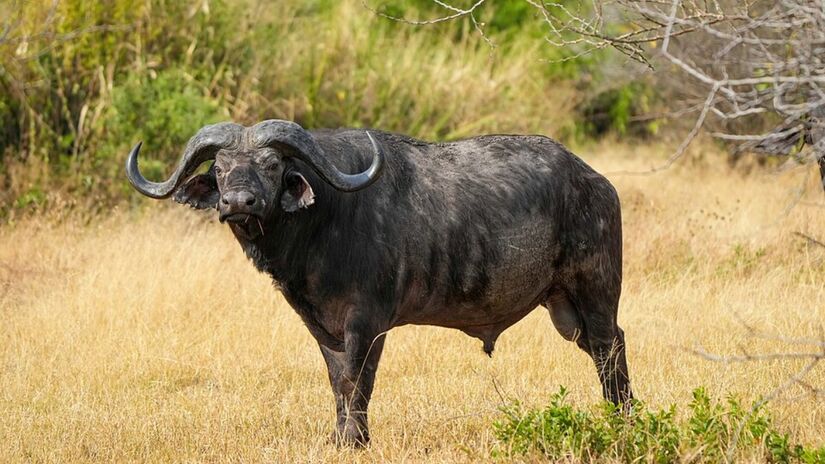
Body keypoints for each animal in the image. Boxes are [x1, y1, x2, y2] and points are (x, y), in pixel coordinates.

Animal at [126, 119, 633, 446]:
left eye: (271, 165)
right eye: (220, 167)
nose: (237, 202)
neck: (324, 219)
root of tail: (595, 182)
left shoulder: (367, 324)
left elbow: (358, 382)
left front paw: (357, 441)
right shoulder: (323, 329)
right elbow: (338, 384)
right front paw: (340, 439)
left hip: (597, 293)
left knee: (610, 349)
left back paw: (621, 420)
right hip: (565, 311)